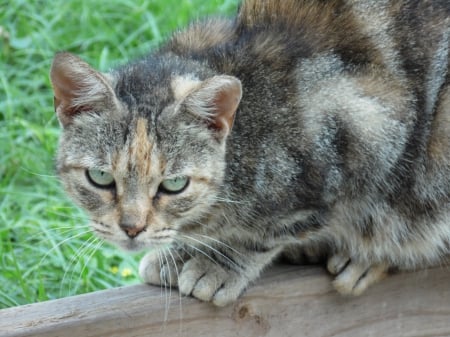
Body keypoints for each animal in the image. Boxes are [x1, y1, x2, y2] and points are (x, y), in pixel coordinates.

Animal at [51, 0, 448, 304]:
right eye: (100, 177)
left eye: (175, 184)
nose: (131, 228)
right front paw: (183, 253)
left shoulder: (363, 137)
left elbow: (268, 233)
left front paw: (216, 262)